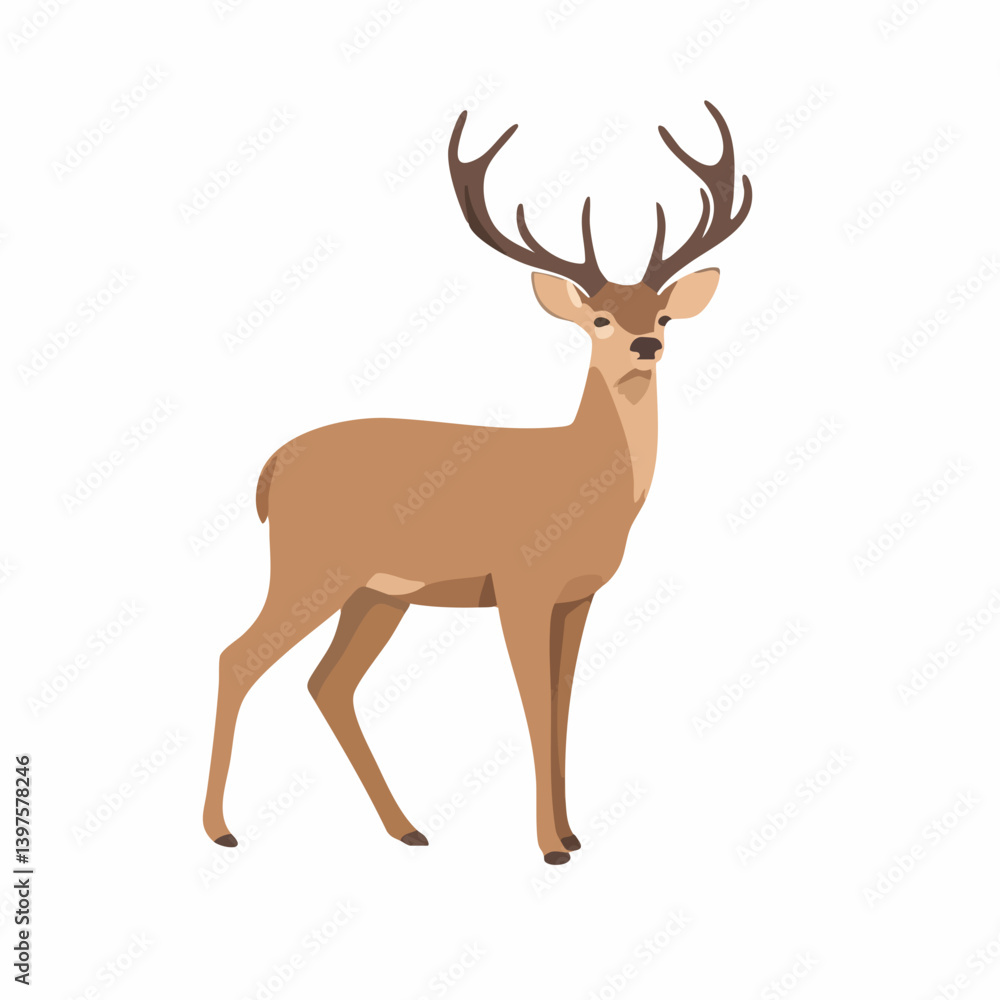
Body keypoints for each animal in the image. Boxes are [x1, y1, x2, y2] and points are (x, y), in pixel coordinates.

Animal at [204, 102, 752, 865]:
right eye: (600, 317)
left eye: (662, 312)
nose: (647, 345)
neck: (585, 481)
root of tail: (270, 468)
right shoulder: (520, 585)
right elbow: (533, 708)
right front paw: (550, 845)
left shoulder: (577, 596)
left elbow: (562, 706)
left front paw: (572, 833)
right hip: (312, 567)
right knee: (238, 658)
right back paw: (221, 830)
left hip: (377, 594)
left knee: (327, 683)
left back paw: (407, 828)